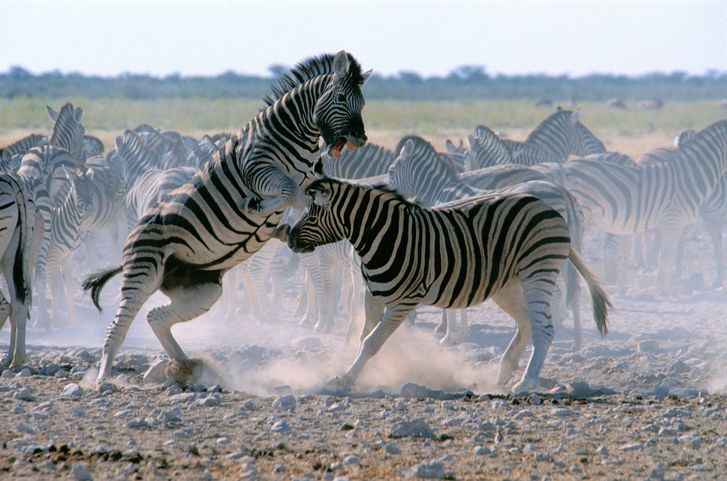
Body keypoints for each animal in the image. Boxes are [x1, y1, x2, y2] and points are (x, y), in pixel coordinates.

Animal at [82, 51, 372, 382]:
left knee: (156, 316)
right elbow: (291, 194)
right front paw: (259, 209)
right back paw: (103, 379)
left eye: (363, 102)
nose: (360, 137)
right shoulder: (257, 171)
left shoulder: (309, 178)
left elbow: (307, 194)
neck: (293, 139)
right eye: (340, 97)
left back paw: (185, 365)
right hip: (143, 271)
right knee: (118, 326)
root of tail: (134, 233)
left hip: (204, 290)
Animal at [282, 178, 608, 392]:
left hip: (538, 272)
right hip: (507, 285)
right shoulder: (371, 295)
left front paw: (347, 380)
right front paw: (363, 372)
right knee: (526, 322)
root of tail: (549, 205)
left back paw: (526, 383)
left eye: (313, 213)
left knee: (544, 328)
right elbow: (364, 337)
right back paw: (503, 374)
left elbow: (372, 341)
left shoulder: (404, 301)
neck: (381, 237)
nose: (289, 238)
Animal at [390, 137, 588, 346]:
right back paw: (577, 340)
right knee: (574, 290)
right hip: (568, 248)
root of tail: (564, 193)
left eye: (391, 171)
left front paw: (449, 336)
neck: (438, 190)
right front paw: (461, 333)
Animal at [544, 119, 727, 292]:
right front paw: (666, 289)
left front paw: (662, 285)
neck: (690, 175)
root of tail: (563, 168)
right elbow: (668, 256)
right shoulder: (674, 218)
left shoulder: (677, 222)